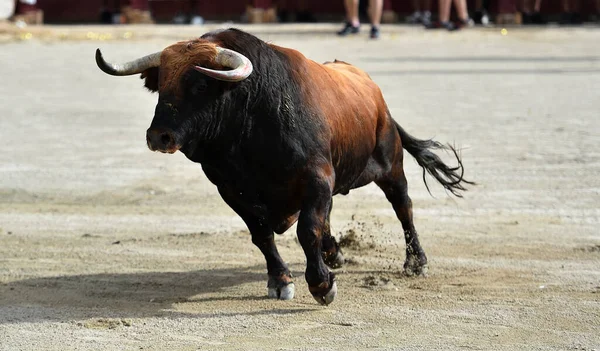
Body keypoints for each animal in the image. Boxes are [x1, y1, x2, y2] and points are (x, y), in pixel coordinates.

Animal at [96, 28, 474, 306]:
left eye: (201, 83)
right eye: (161, 84)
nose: (158, 136)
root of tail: (374, 92)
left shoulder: (316, 177)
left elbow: (307, 229)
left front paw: (322, 286)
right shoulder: (231, 190)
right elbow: (262, 234)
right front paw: (281, 280)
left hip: (391, 165)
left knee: (403, 207)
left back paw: (415, 263)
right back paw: (334, 254)